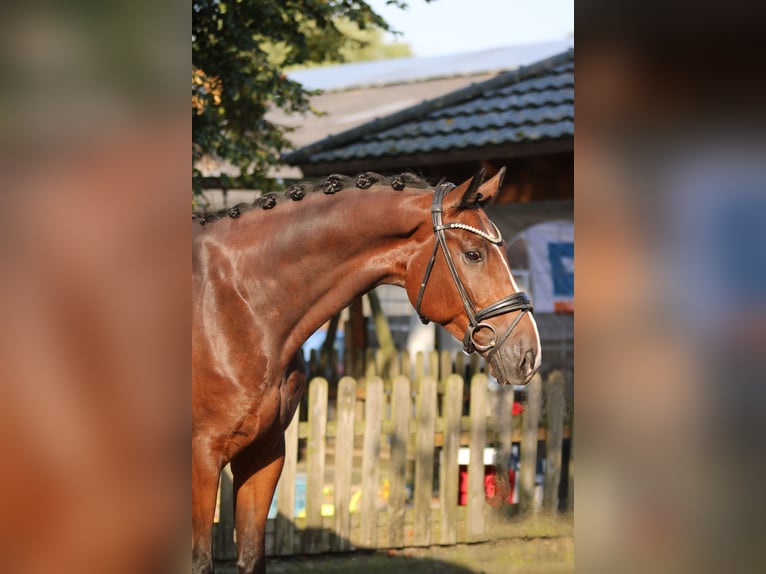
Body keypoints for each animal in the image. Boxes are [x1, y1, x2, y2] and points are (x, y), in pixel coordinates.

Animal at [192, 169, 540, 572]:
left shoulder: (264, 454)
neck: (236, 303)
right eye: (474, 254)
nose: (528, 354)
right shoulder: (202, 460)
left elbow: (251, 557)